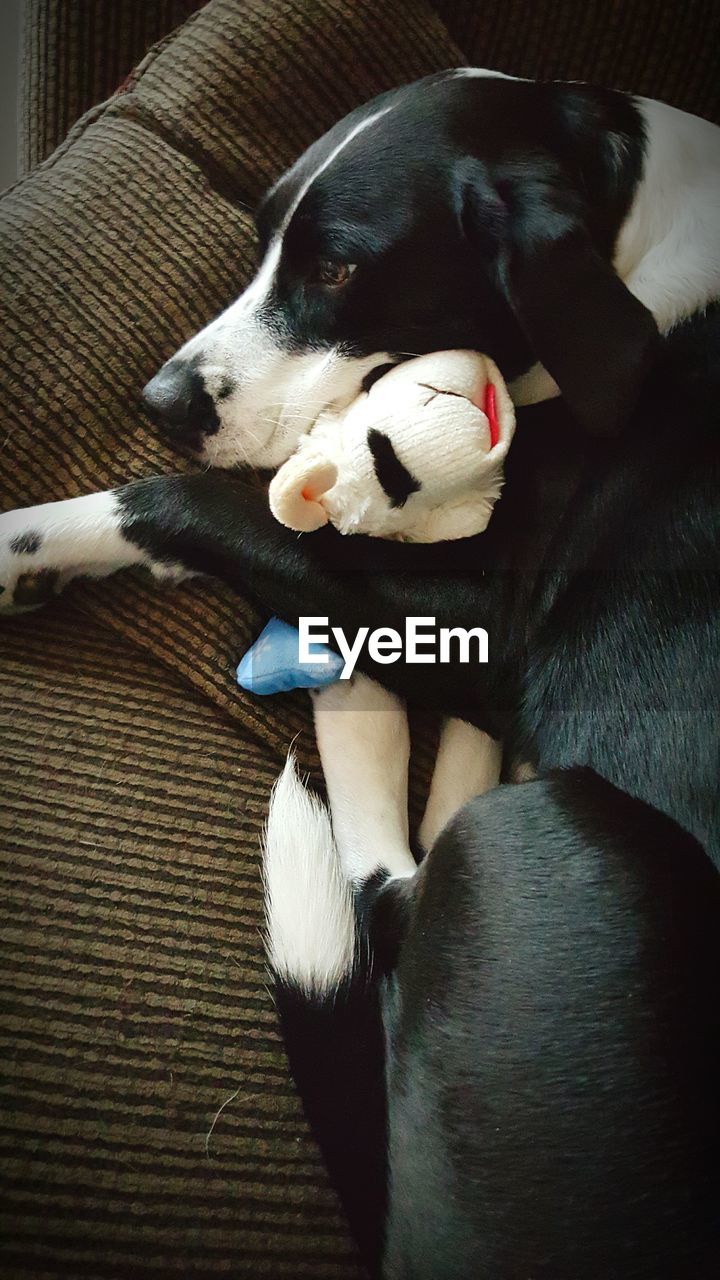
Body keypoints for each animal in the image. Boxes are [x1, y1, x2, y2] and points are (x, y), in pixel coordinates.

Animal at [1, 72, 717, 1280]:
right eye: (261, 240)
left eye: (339, 270)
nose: (159, 401)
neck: (639, 230)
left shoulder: (492, 624)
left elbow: (184, 501)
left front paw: (20, 544)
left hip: (578, 842)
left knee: (383, 890)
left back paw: (358, 715)